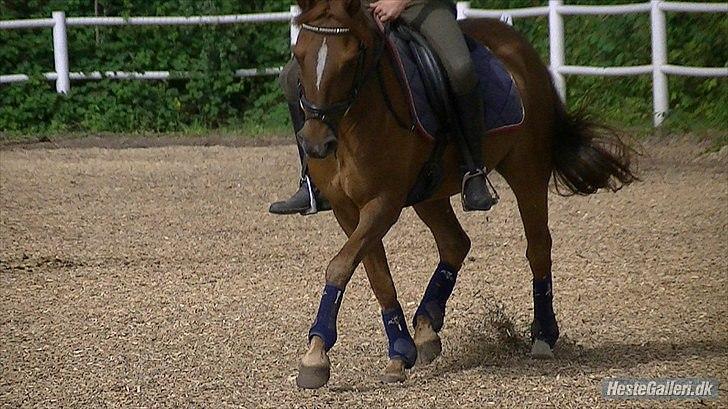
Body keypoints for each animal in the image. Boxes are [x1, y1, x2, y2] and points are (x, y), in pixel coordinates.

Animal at [288, 0, 636, 388]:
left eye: (350, 60)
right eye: (299, 55)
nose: (316, 144)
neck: (351, 125)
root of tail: (521, 48)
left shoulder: (383, 203)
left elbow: (340, 266)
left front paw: (316, 356)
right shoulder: (346, 209)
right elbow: (374, 274)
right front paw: (397, 352)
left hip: (527, 171)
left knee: (538, 247)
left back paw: (543, 335)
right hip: (431, 192)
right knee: (455, 243)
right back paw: (427, 327)